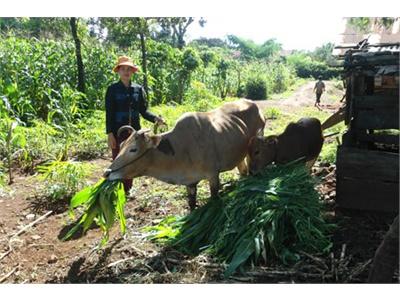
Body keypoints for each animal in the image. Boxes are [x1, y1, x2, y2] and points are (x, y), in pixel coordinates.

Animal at [104, 99, 264, 210]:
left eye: (133, 149)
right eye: (121, 145)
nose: (107, 173)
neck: (182, 148)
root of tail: (252, 103)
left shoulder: (213, 176)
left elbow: (214, 198)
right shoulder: (190, 183)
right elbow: (191, 204)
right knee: (243, 170)